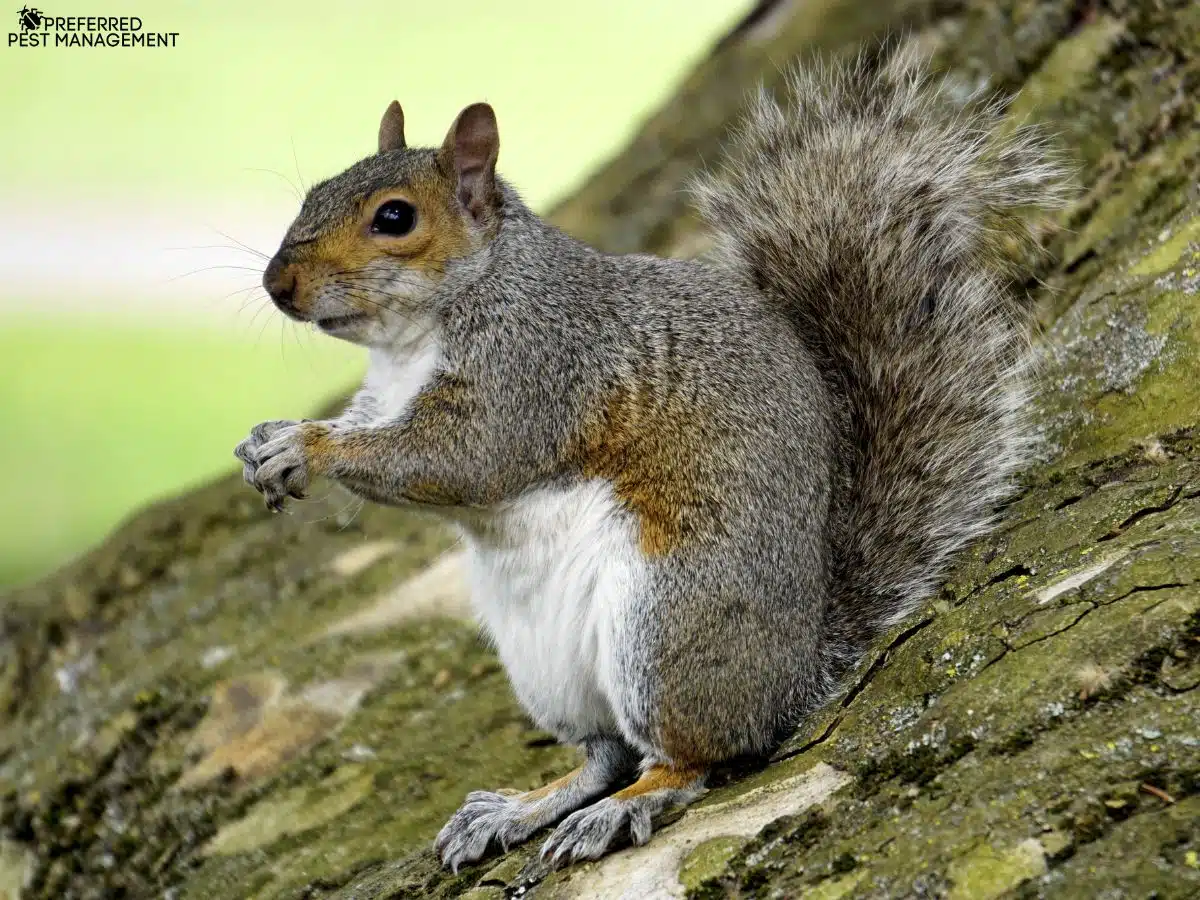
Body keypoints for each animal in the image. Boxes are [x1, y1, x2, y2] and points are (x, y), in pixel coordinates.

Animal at [235, 45, 1065, 871]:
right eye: (315, 191)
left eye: (395, 218)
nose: (278, 284)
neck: (420, 333)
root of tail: (797, 670)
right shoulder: (387, 395)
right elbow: (374, 430)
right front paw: (269, 440)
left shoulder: (532, 372)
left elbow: (457, 460)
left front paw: (307, 448)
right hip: (548, 668)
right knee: (605, 754)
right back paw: (522, 807)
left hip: (665, 626)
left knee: (691, 757)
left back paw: (625, 807)